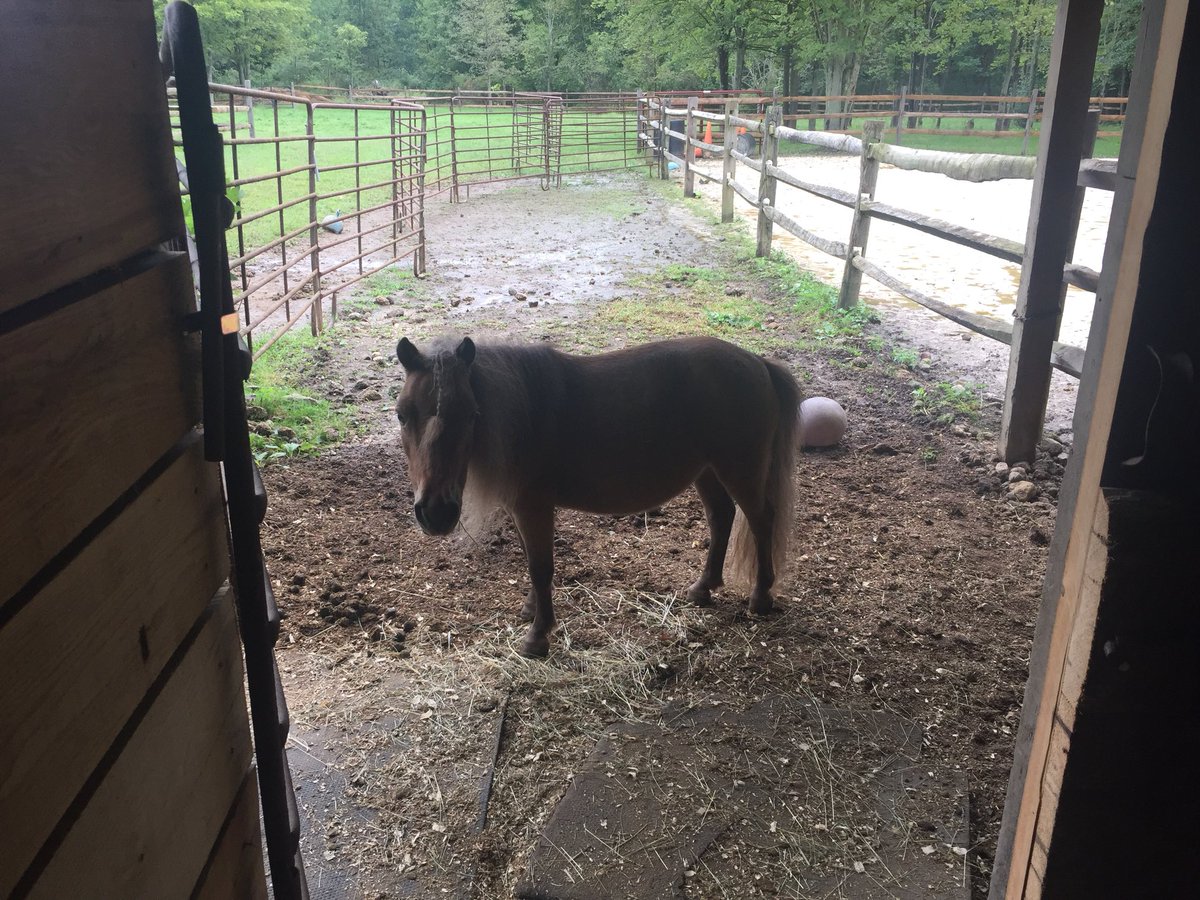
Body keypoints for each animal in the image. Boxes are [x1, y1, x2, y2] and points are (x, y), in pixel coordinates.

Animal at [393, 335, 802, 657]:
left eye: (471, 413)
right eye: (401, 415)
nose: (435, 512)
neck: (523, 414)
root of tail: (759, 363)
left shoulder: (533, 507)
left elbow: (541, 567)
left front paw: (538, 636)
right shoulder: (521, 510)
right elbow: (530, 560)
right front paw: (531, 611)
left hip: (739, 470)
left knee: (761, 519)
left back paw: (761, 597)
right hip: (707, 471)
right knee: (721, 517)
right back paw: (703, 588)